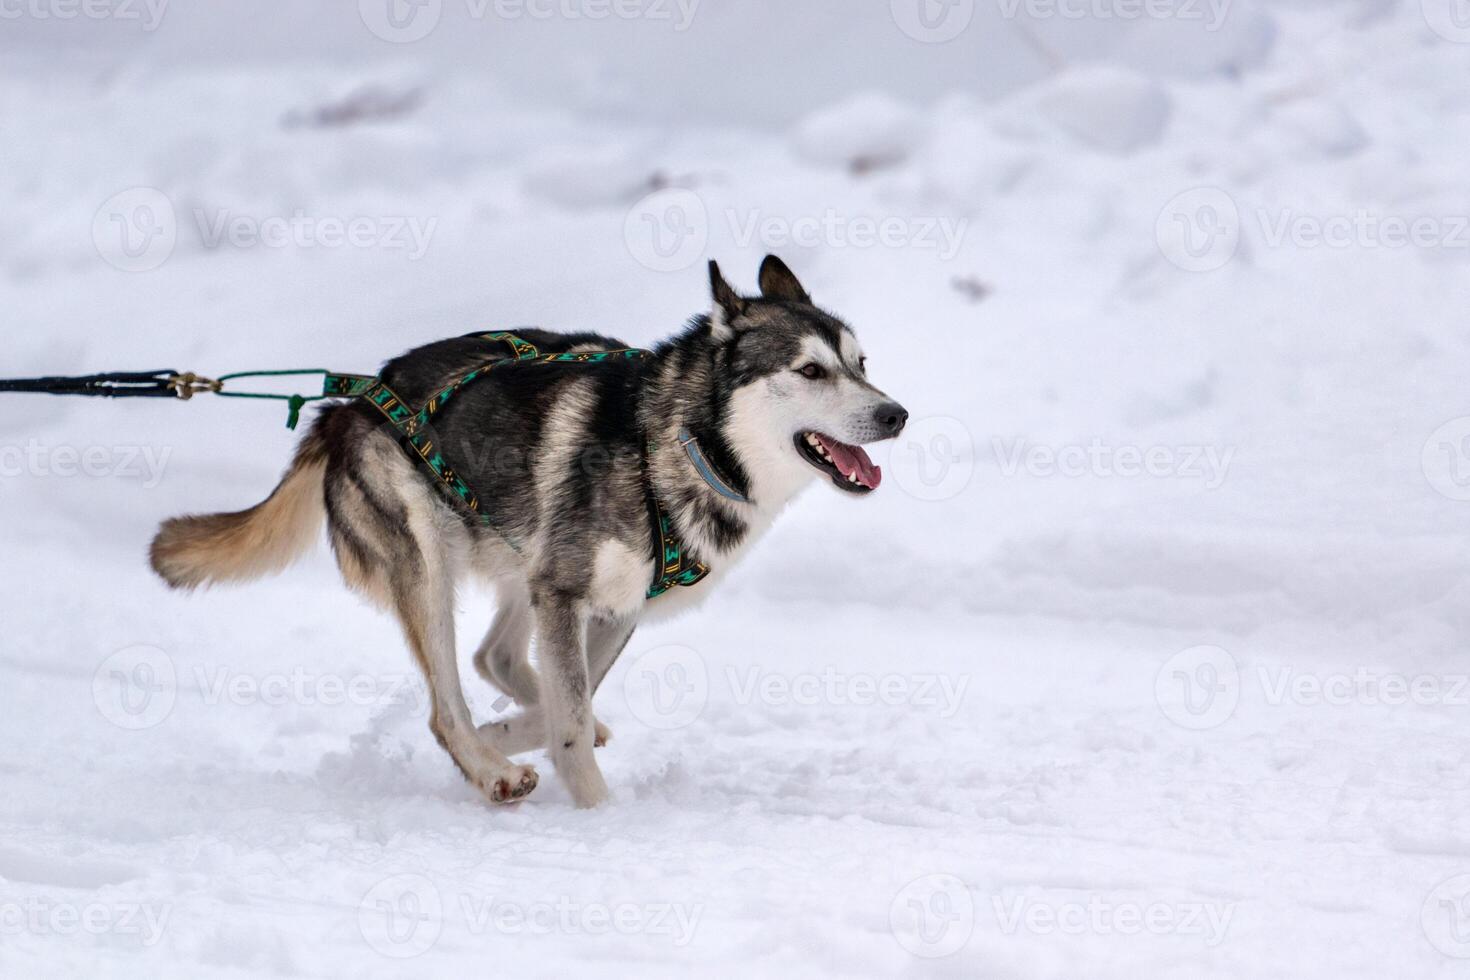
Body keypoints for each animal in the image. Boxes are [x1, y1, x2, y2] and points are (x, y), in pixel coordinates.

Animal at [149, 257, 905, 811]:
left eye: (863, 364)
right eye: (810, 370)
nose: (895, 414)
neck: (675, 442)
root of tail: (350, 403)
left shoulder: (608, 605)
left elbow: (573, 702)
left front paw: (533, 733)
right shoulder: (567, 592)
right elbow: (567, 718)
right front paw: (597, 812)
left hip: (523, 558)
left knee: (495, 658)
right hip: (430, 565)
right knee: (447, 703)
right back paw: (491, 770)